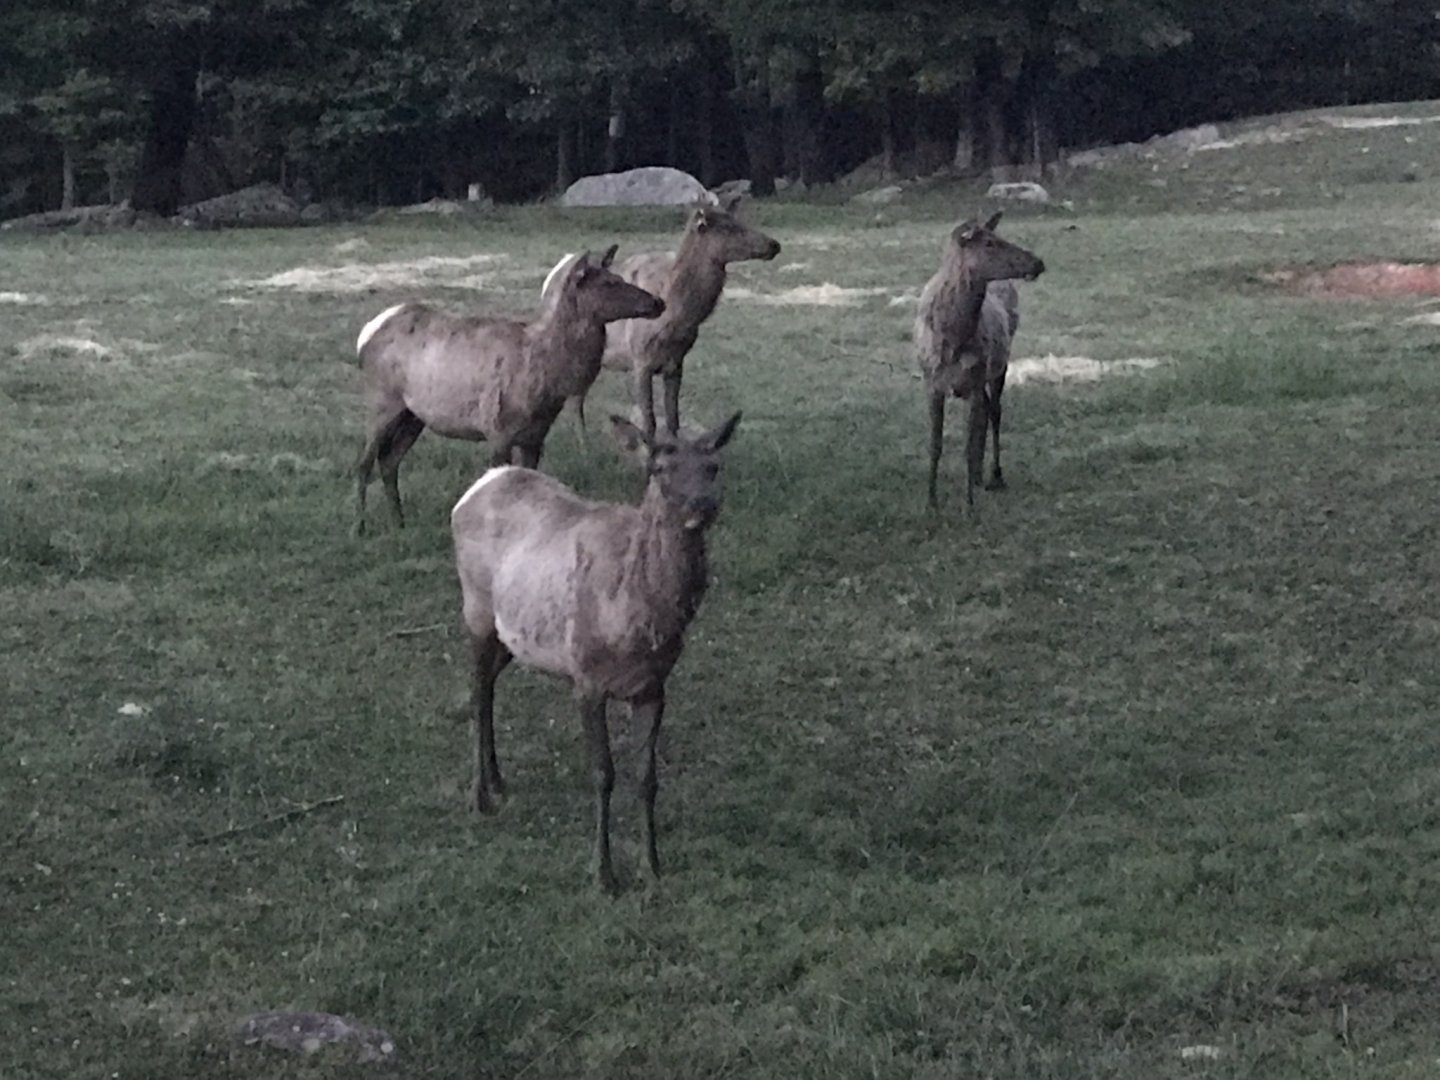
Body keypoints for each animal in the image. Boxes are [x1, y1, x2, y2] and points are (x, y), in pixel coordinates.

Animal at [352, 247, 663, 535]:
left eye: (619, 278)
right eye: (609, 283)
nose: (658, 301)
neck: (547, 379)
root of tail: (364, 336)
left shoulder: (535, 437)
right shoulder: (497, 430)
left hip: (413, 415)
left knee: (389, 460)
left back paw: (399, 523)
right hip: (381, 400)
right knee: (364, 462)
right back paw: (360, 528)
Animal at [449, 410, 743, 894]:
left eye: (713, 467)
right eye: (659, 469)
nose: (702, 505)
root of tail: (479, 485)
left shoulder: (655, 687)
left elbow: (647, 777)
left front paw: (651, 866)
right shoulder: (585, 678)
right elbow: (603, 773)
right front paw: (602, 874)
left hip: (515, 633)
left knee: (488, 685)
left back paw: (498, 782)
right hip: (476, 608)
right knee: (475, 692)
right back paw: (479, 797)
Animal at [542, 197, 780, 441]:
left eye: (741, 221)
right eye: (729, 228)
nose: (774, 245)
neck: (676, 319)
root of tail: (556, 270)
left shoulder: (676, 362)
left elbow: (673, 419)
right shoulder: (640, 359)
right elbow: (649, 422)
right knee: (574, 400)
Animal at [914, 212, 1045, 510]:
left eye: (998, 237)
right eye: (989, 243)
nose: (1038, 262)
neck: (953, 338)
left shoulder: (974, 380)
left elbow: (967, 446)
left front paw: (969, 508)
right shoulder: (932, 384)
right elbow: (935, 445)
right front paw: (931, 503)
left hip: (1000, 365)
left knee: (995, 411)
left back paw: (995, 474)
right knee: (987, 412)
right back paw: (977, 476)